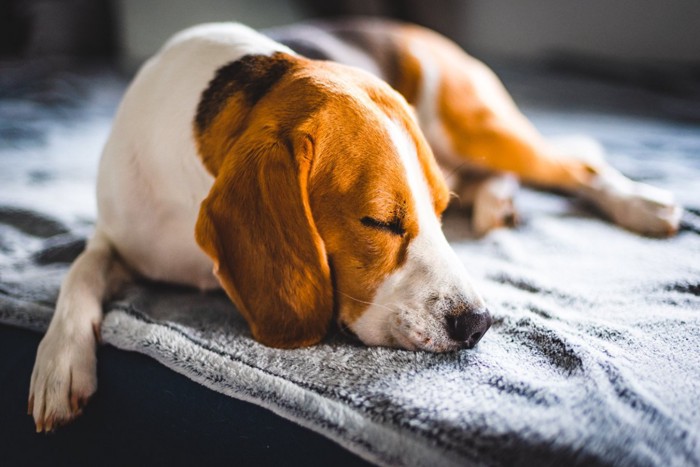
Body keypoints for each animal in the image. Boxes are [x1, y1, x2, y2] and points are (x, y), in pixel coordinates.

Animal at [30, 20, 680, 434]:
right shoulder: (118, 235)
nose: (478, 324)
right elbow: (80, 270)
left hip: (479, 125)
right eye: (379, 221)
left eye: (438, 210)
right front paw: (60, 362)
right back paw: (500, 202)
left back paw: (643, 204)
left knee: (579, 164)